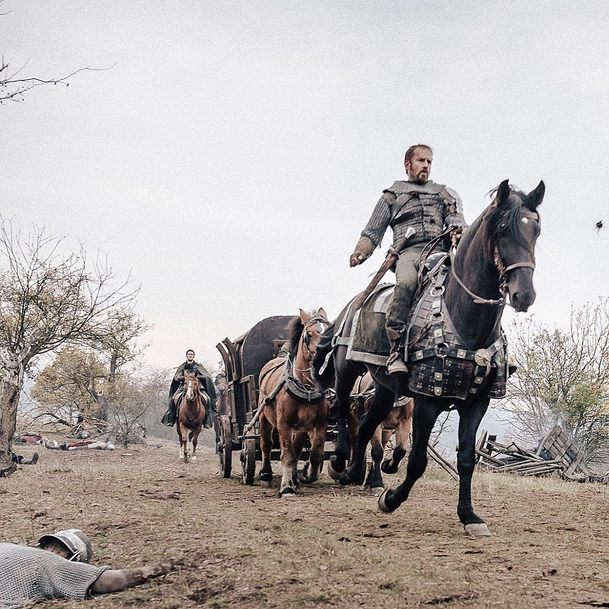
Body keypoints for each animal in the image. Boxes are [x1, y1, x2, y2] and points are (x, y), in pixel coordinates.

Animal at [258, 308, 330, 494]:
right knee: (266, 443)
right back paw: (266, 473)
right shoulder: (284, 424)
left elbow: (315, 454)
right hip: (264, 417)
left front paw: (306, 475)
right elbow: (287, 455)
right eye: (308, 335)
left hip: (301, 427)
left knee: (297, 448)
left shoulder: (319, 423)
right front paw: (286, 487)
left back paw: (296, 478)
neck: (306, 390)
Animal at [316, 178, 544, 536]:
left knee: (366, 426)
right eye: (503, 228)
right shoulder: (427, 400)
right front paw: (391, 499)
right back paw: (340, 461)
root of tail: (353, 304)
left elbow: (466, 459)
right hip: (346, 370)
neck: (464, 319)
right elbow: (418, 460)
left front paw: (469, 516)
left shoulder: (476, 402)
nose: (524, 295)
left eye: (536, 230)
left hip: (385, 388)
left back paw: (354, 472)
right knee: (341, 408)